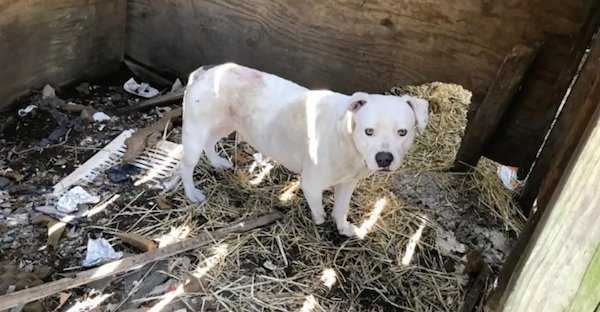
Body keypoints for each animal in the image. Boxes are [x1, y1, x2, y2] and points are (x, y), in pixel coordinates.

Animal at [179, 63, 426, 236]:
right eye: (369, 131)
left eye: (402, 132)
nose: (384, 158)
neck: (346, 140)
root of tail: (204, 73)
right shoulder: (311, 185)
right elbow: (319, 211)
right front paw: (320, 224)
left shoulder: (347, 183)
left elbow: (341, 209)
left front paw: (344, 228)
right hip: (195, 134)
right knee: (186, 165)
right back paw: (192, 193)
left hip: (225, 124)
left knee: (210, 143)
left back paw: (217, 162)